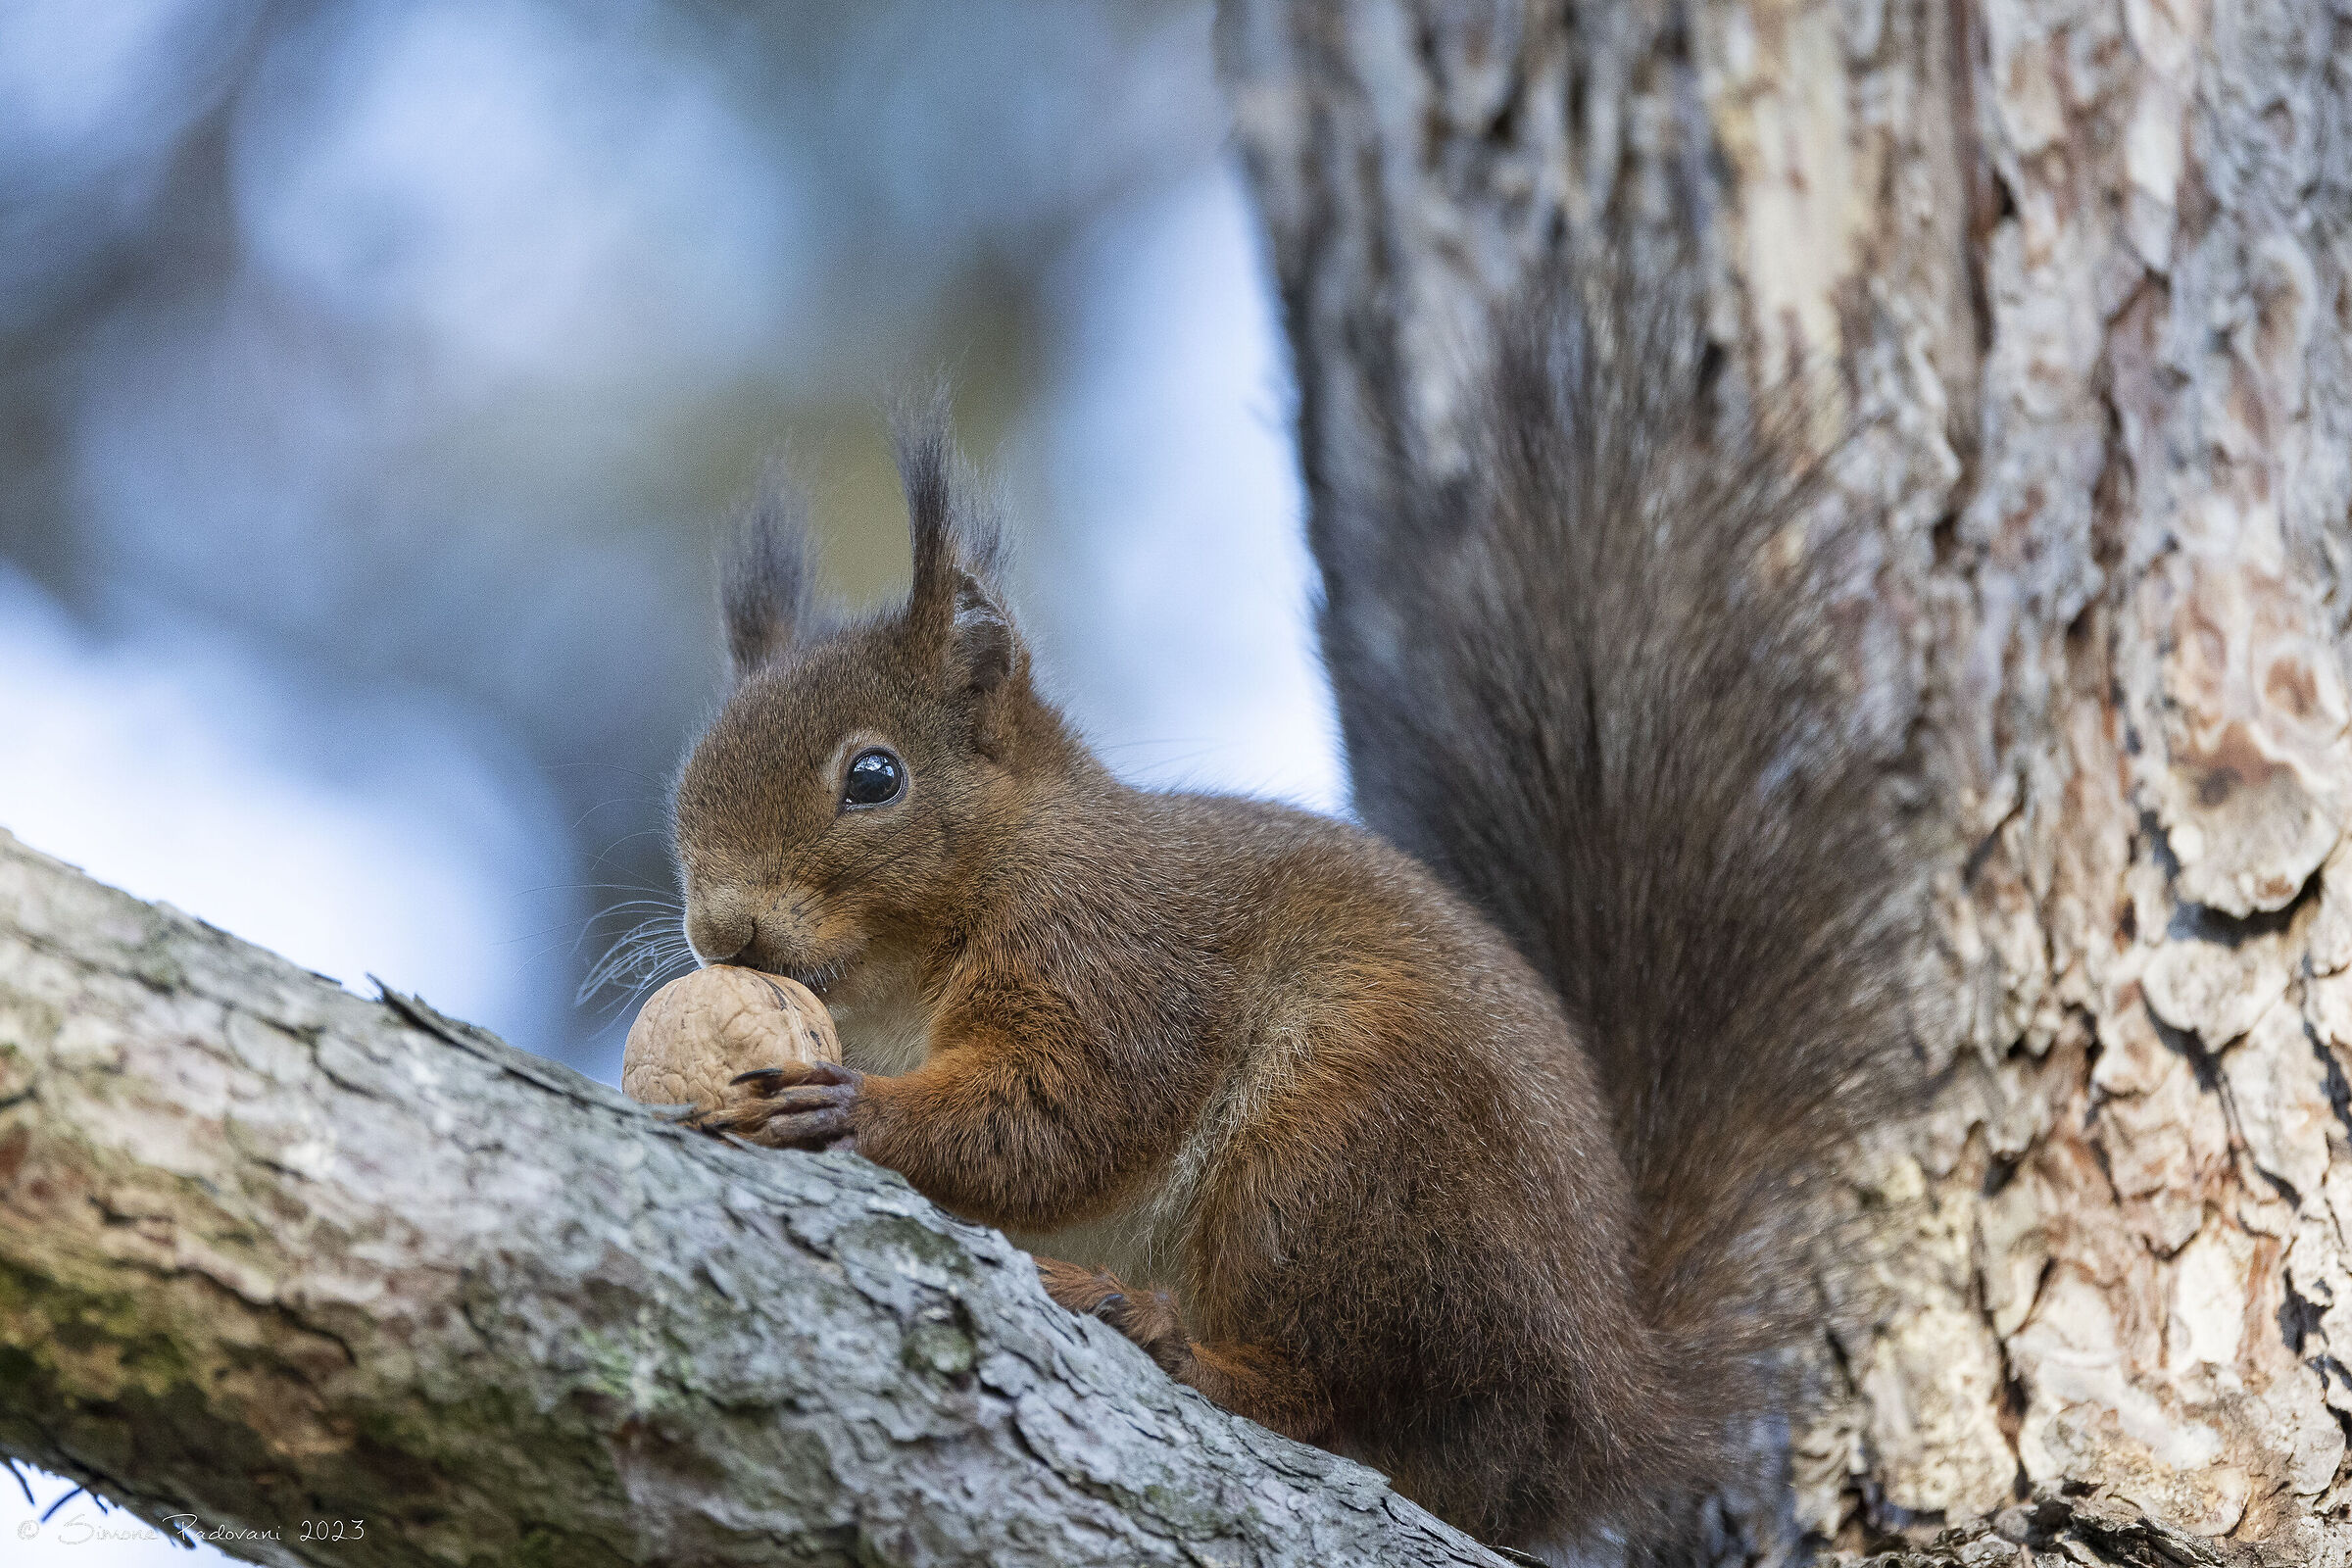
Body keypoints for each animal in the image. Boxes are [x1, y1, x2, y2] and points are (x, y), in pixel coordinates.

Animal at [668, 266, 1924, 1561]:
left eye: (875, 778)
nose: (722, 930)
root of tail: (1608, 1396)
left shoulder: (1113, 949)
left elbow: (1066, 1112)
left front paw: (846, 1109)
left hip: (1344, 1151)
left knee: (1334, 1395)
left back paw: (1167, 1336)